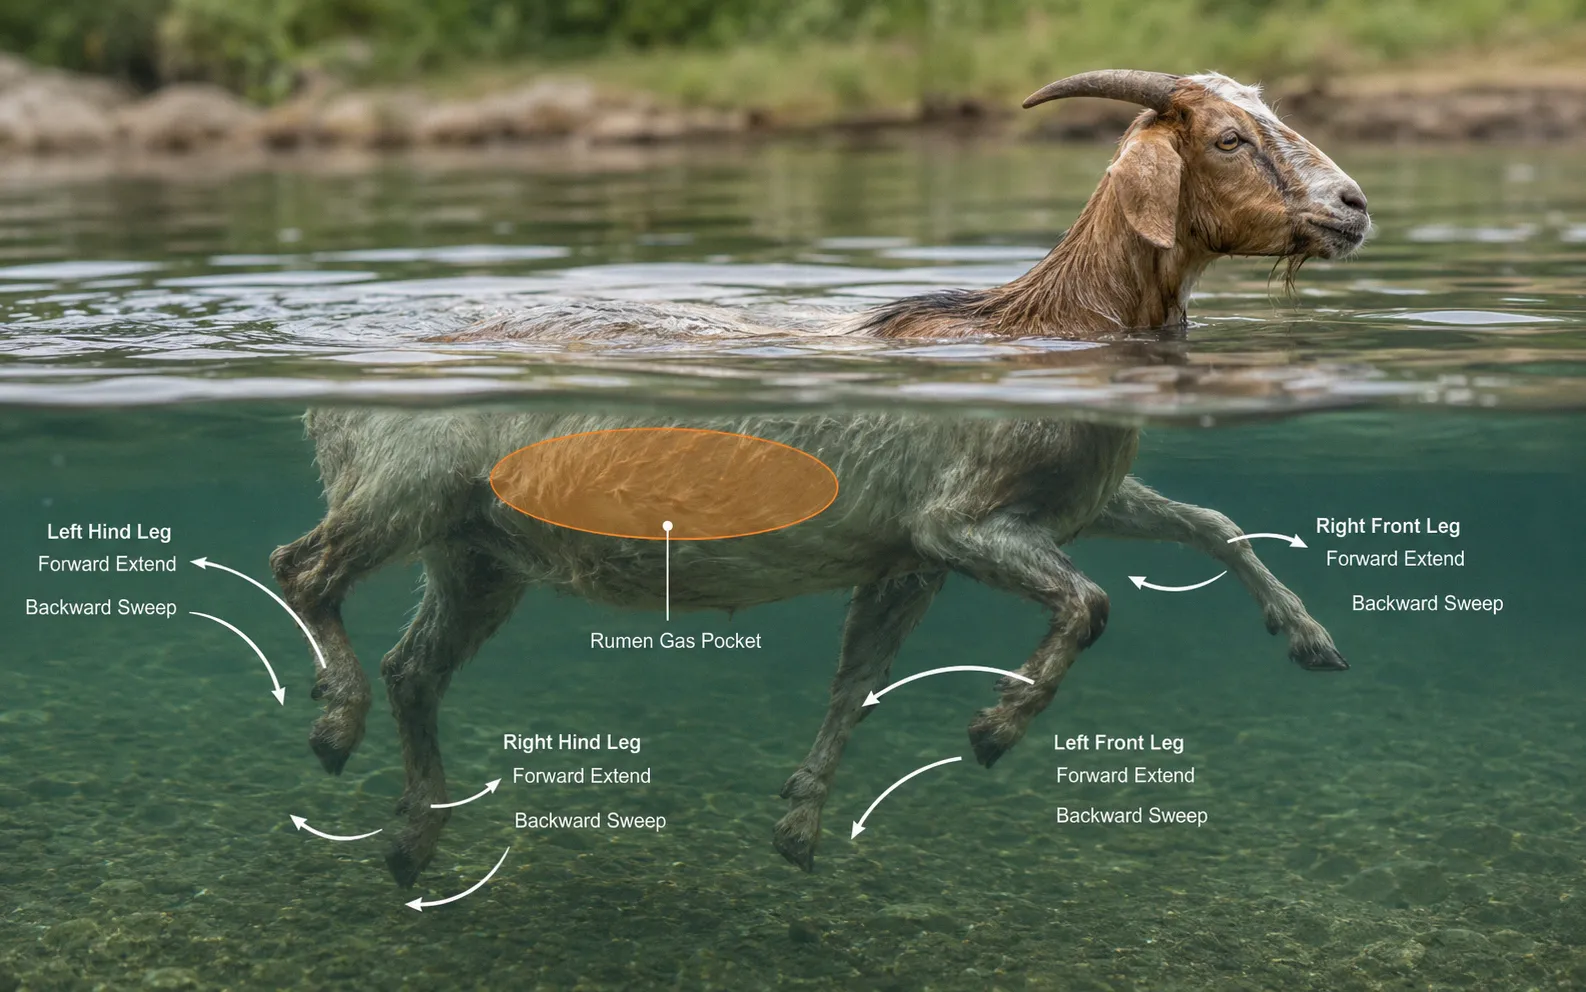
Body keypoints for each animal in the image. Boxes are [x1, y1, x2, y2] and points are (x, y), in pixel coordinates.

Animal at [273, 70, 1365, 887]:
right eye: (1226, 138)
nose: (1352, 207)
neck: (1044, 321)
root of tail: (326, 402)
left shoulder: (990, 528)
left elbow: (1201, 523)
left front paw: (1311, 642)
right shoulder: (955, 520)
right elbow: (1088, 602)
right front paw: (992, 730)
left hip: (479, 549)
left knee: (416, 664)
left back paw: (410, 836)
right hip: (401, 484)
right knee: (302, 568)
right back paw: (332, 722)